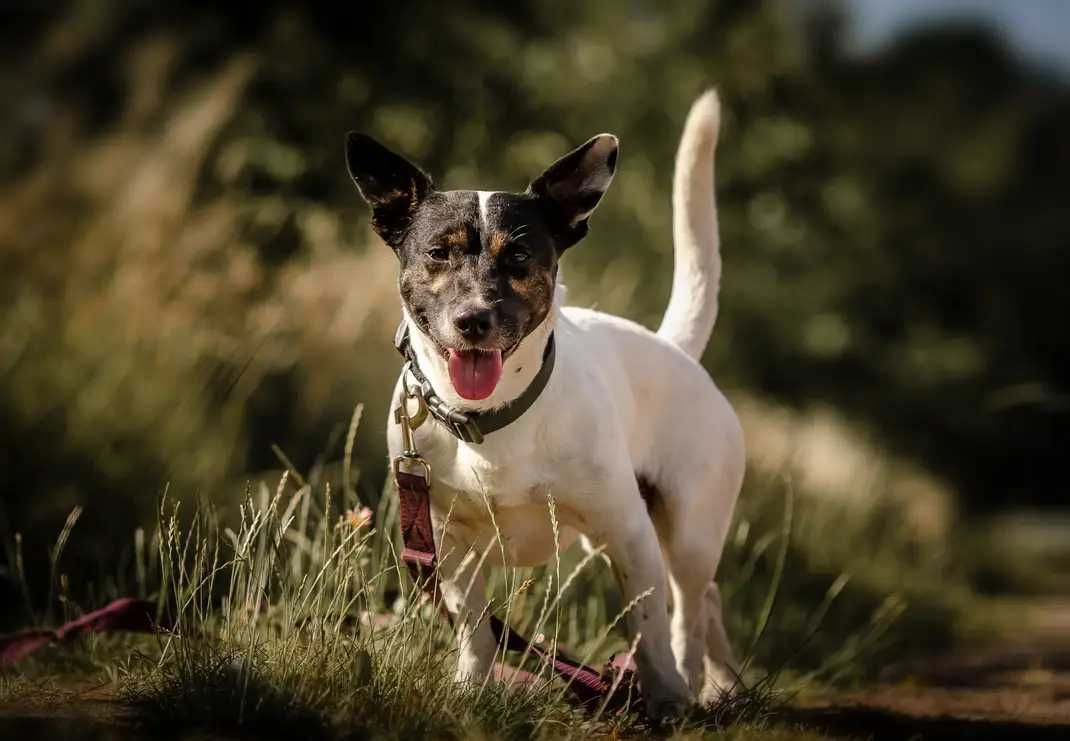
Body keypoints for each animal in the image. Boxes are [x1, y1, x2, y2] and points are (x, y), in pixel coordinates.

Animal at [344, 89, 744, 718]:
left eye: (519, 257)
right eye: (437, 253)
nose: (473, 320)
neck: (491, 420)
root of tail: (674, 349)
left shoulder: (628, 533)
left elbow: (649, 633)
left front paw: (663, 697)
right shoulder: (448, 545)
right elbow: (477, 632)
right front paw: (471, 689)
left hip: (688, 531)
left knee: (689, 611)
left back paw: (693, 684)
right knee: (708, 601)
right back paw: (726, 686)